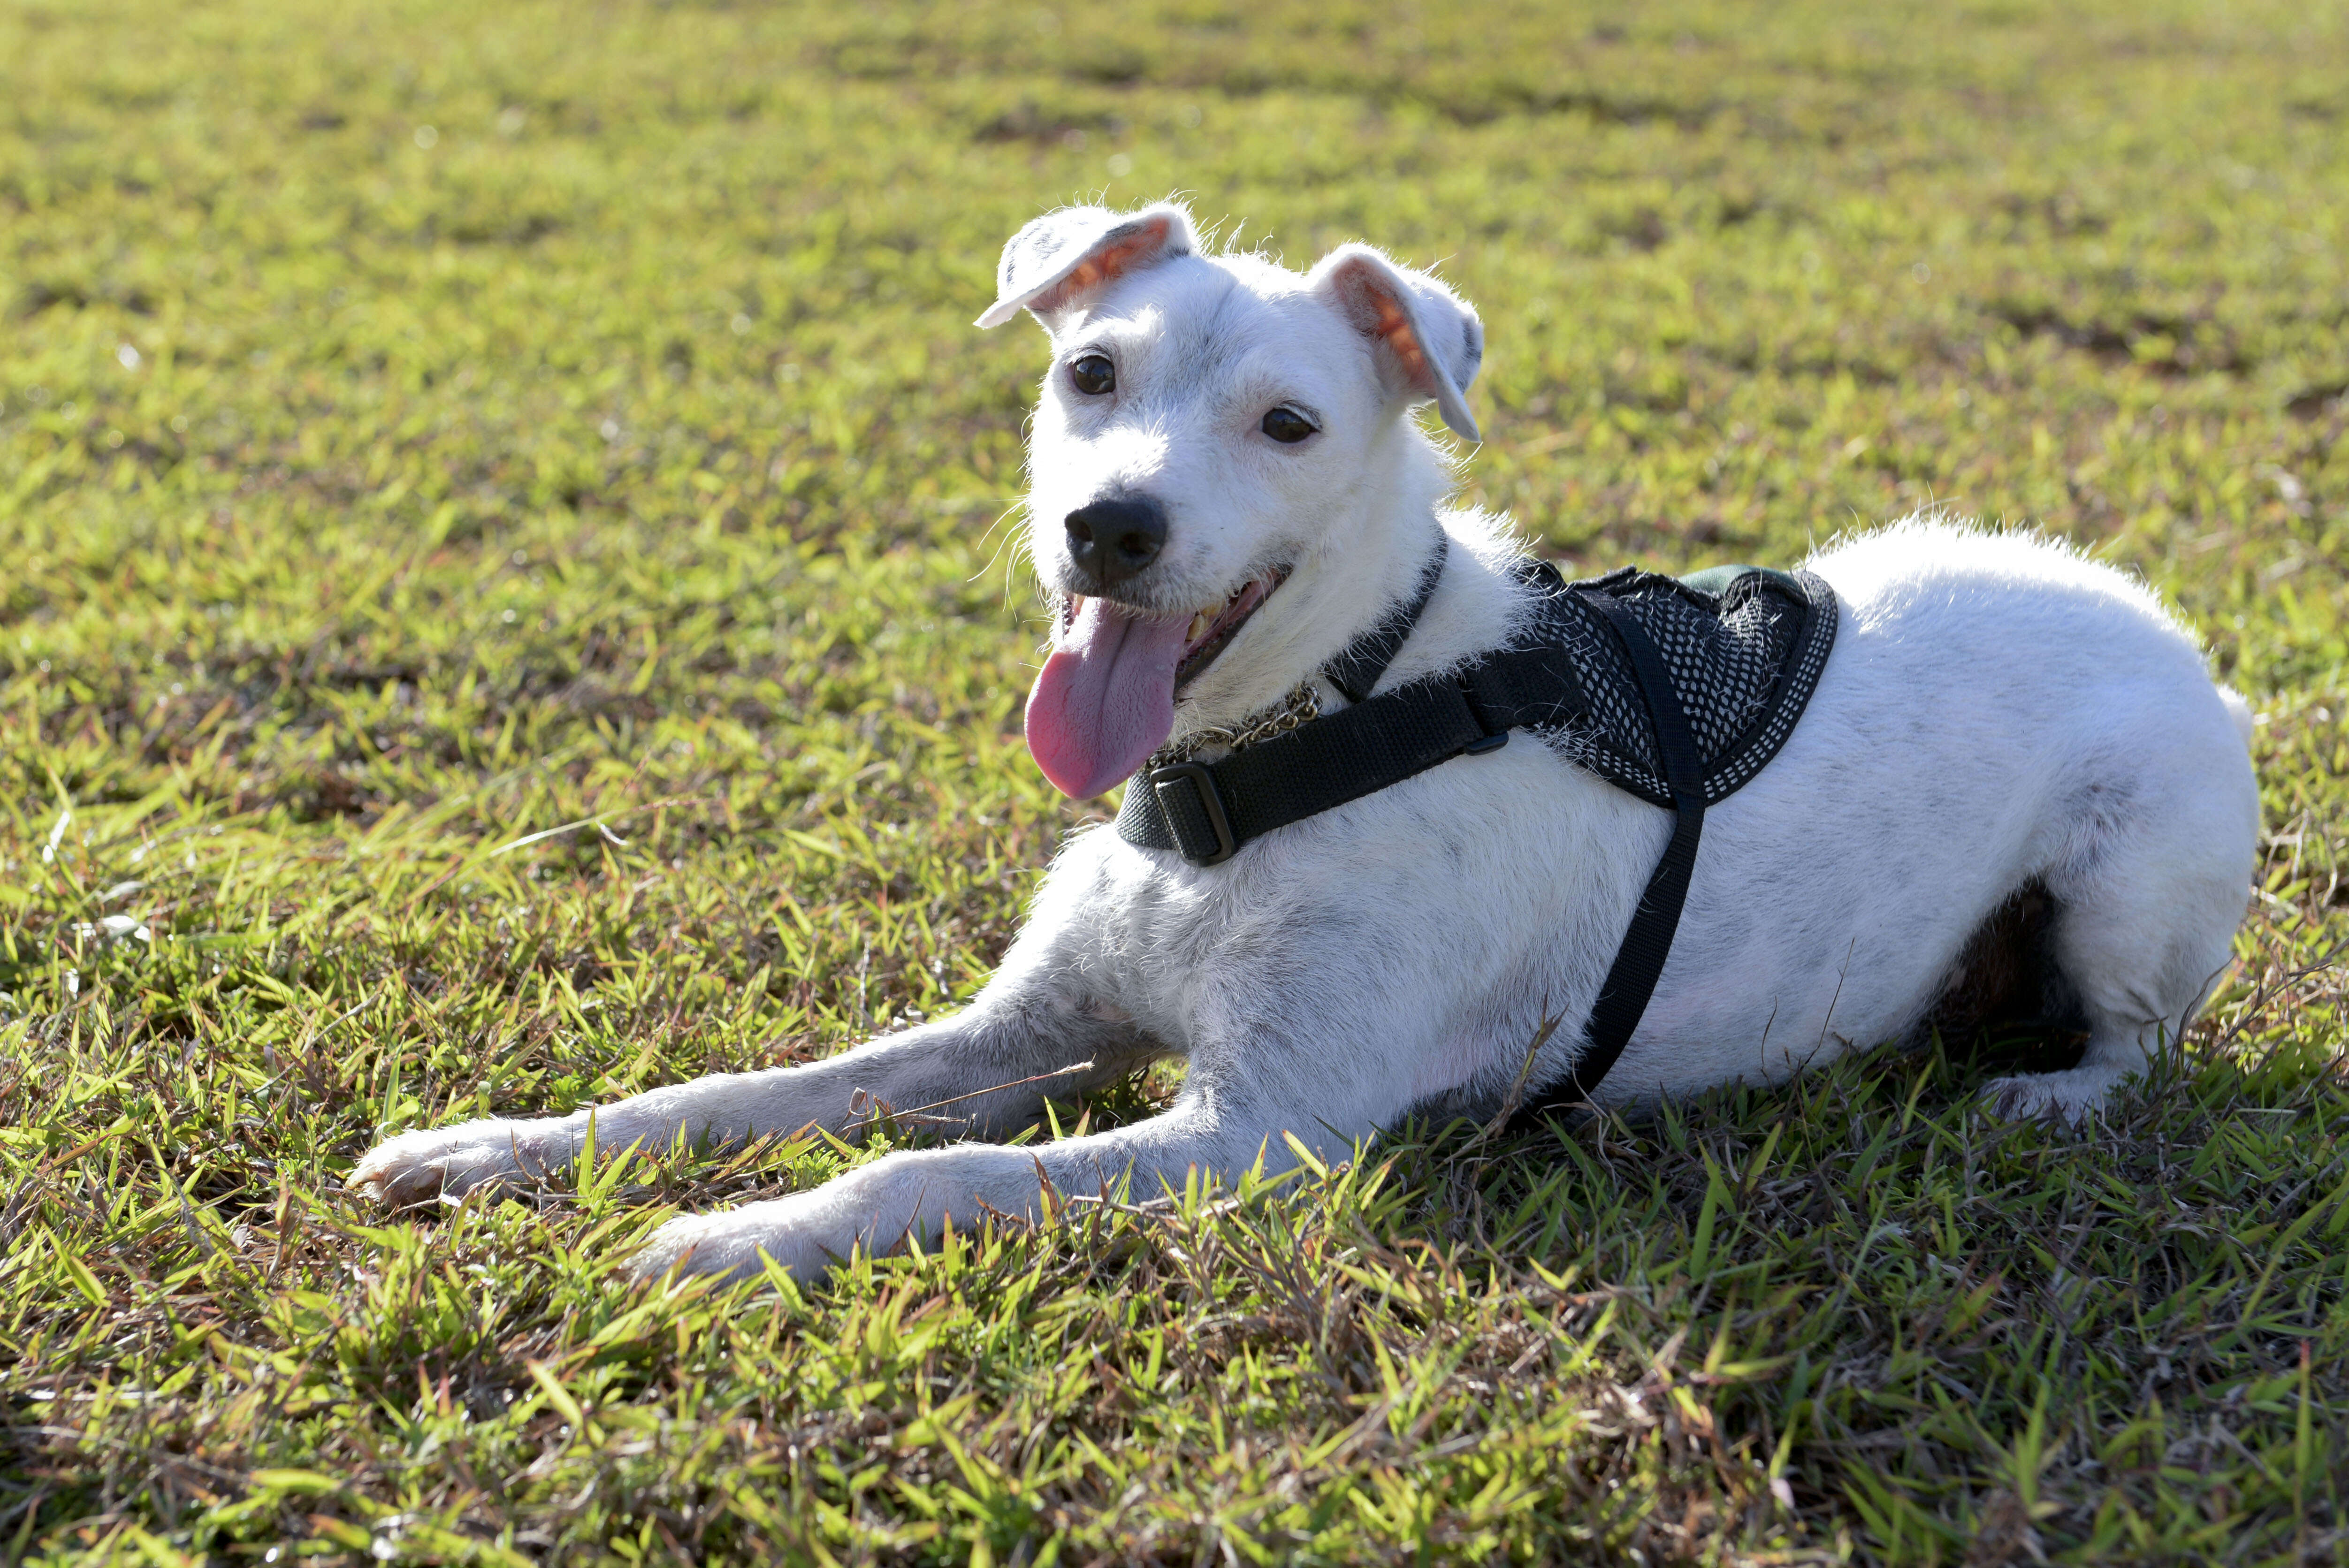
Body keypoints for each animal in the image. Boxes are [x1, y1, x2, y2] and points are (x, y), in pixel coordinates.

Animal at [347, 202, 2255, 1277]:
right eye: (1091, 374)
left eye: (1289, 423)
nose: (1110, 529)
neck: (1293, 738)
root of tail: (2158, 613)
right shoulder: (1023, 1032)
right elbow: (750, 1094)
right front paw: (501, 1149)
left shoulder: (1260, 1128)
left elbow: (915, 1165)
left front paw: (733, 1236)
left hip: (2127, 889)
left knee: (2142, 1048)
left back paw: (2044, 1095)